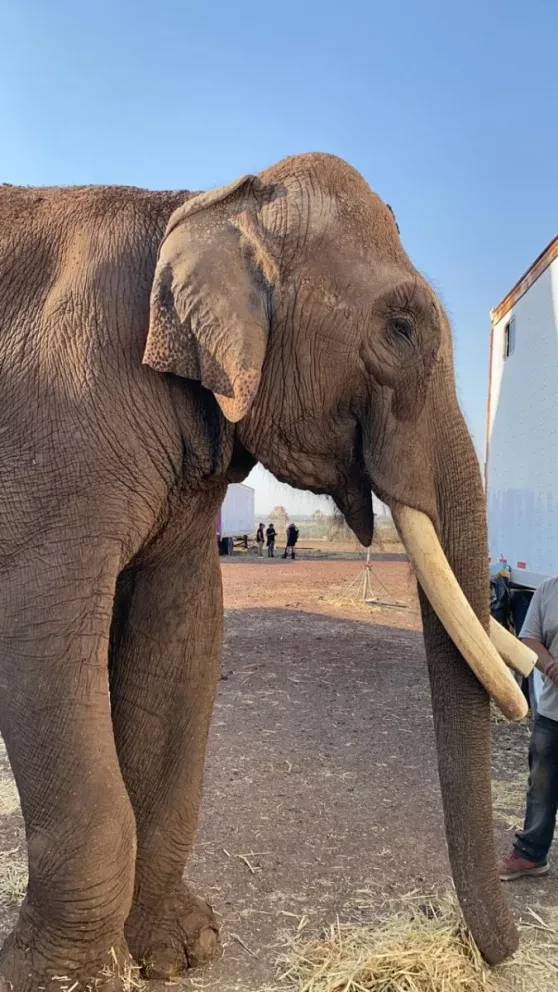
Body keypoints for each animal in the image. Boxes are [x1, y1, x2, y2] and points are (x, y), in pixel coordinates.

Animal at [0, 153, 533, 990]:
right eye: (400, 328)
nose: (489, 949)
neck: (200, 203)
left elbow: (181, 638)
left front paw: (182, 951)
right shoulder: (56, 438)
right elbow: (40, 635)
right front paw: (59, 980)